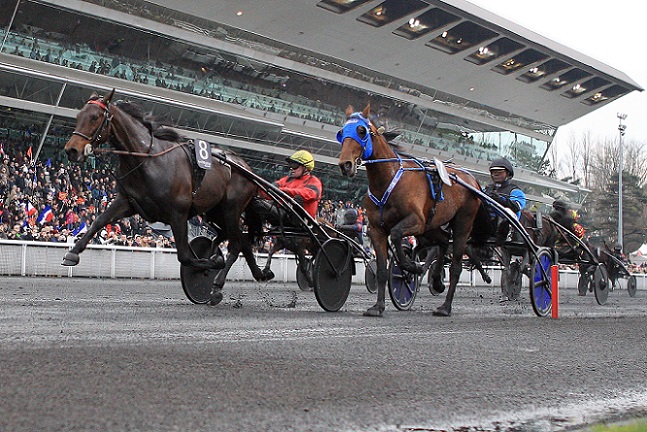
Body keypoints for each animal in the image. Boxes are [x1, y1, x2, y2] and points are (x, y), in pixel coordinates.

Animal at [64, 90, 270, 306]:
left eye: (95, 117)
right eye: (78, 116)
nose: (71, 150)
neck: (149, 160)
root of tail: (246, 168)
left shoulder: (178, 213)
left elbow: (185, 256)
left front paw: (208, 265)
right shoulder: (128, 202)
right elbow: (99, 221)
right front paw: (72, 253)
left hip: (231, 209)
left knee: (236, 243)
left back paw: (217, 286)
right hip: (215, 211)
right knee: (241, 240)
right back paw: (259, 274)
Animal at [336, 103, 488, 316]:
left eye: (361, 131)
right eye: (341, 132)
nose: (345, 165)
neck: (389, 180)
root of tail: (472, 179)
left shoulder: (416, 221)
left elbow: (397, 234)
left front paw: (410, 266)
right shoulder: (376, 230)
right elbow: (382, 269)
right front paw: (378, 306)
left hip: (462, 223)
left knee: (456, 266)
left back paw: (445, 306)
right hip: (432, 225)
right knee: (442, 241)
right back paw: (436, 280)